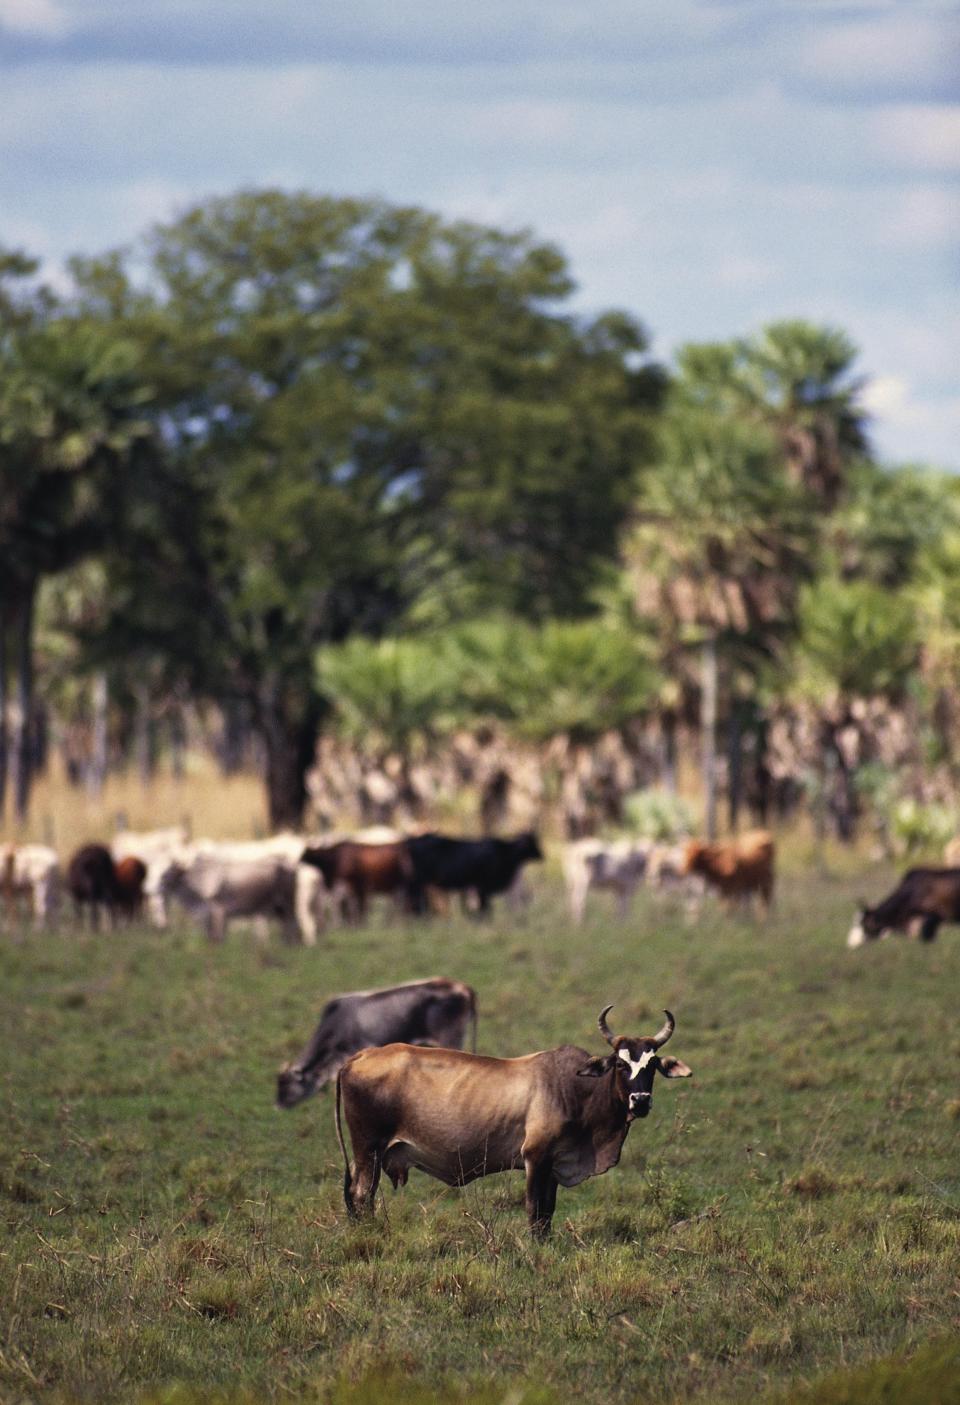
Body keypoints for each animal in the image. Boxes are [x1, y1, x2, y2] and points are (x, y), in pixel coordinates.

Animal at [335, 1005, 691, 1236]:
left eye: (652, 1064)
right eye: (620, 1063)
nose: (640, 1101)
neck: (574, 1089)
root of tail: (360, 1056)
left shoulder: (554, 1164)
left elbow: (548, 1213)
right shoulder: (535, 1158)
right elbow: (534, 1211)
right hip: (369, 1151)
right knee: (361, 1195)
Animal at [401, 826, 545, 916]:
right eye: (533, 842)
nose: (542, 855)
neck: (505, 853)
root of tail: (410, 840)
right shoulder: (482, 886)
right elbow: (485, 909)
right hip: (417, 881)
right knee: (414, 900)